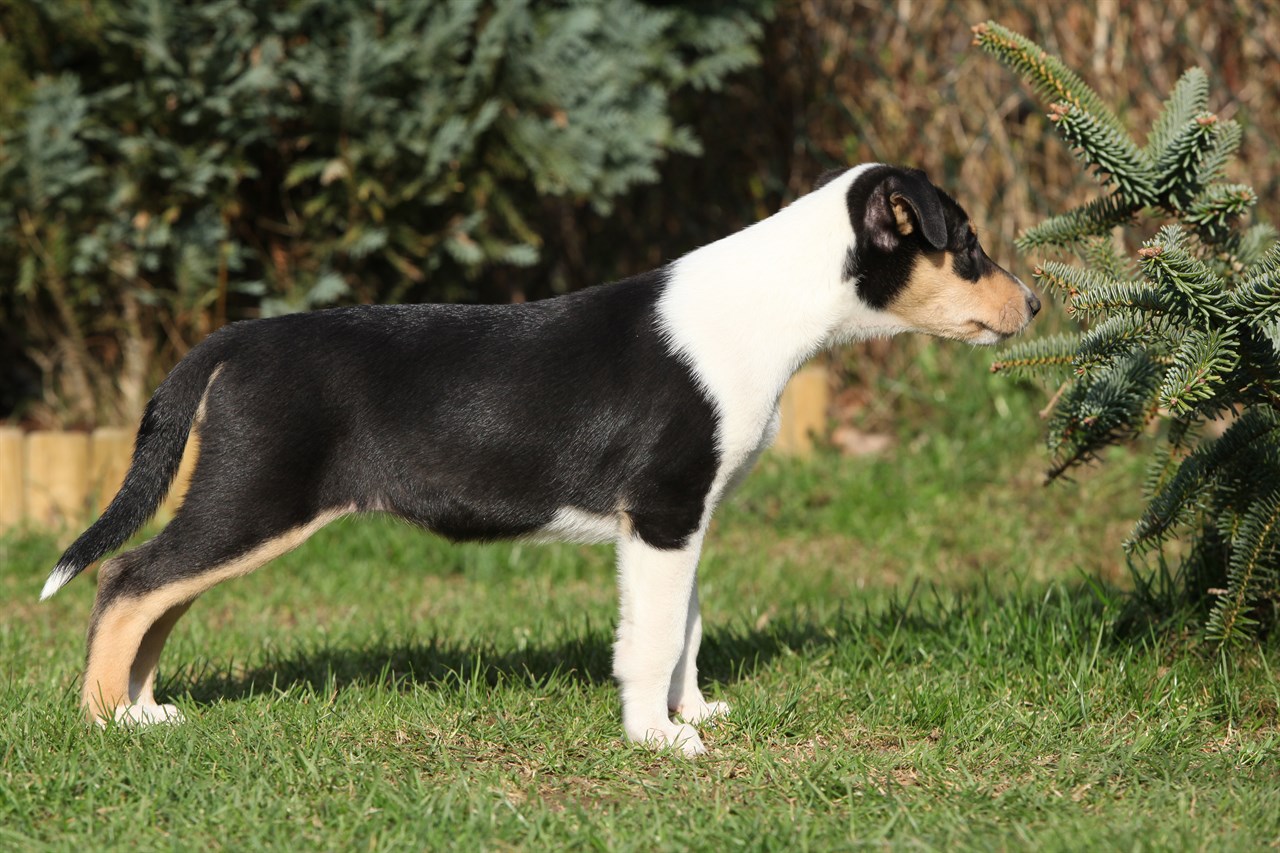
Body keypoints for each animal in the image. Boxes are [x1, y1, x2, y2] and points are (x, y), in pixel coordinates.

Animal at [42, 162, 1039, 753]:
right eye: (967, 244)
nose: (1032, 303)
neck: (772, 308)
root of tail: (234, 339)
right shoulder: (663, 513)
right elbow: (653, 637)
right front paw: (660, 740)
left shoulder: (684, 520)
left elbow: (687, 628)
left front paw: (693, 712)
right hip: (256, 496)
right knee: (129, 579)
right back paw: (104, 722)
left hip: (242, 501)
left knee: (157, 591)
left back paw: (145, 710)